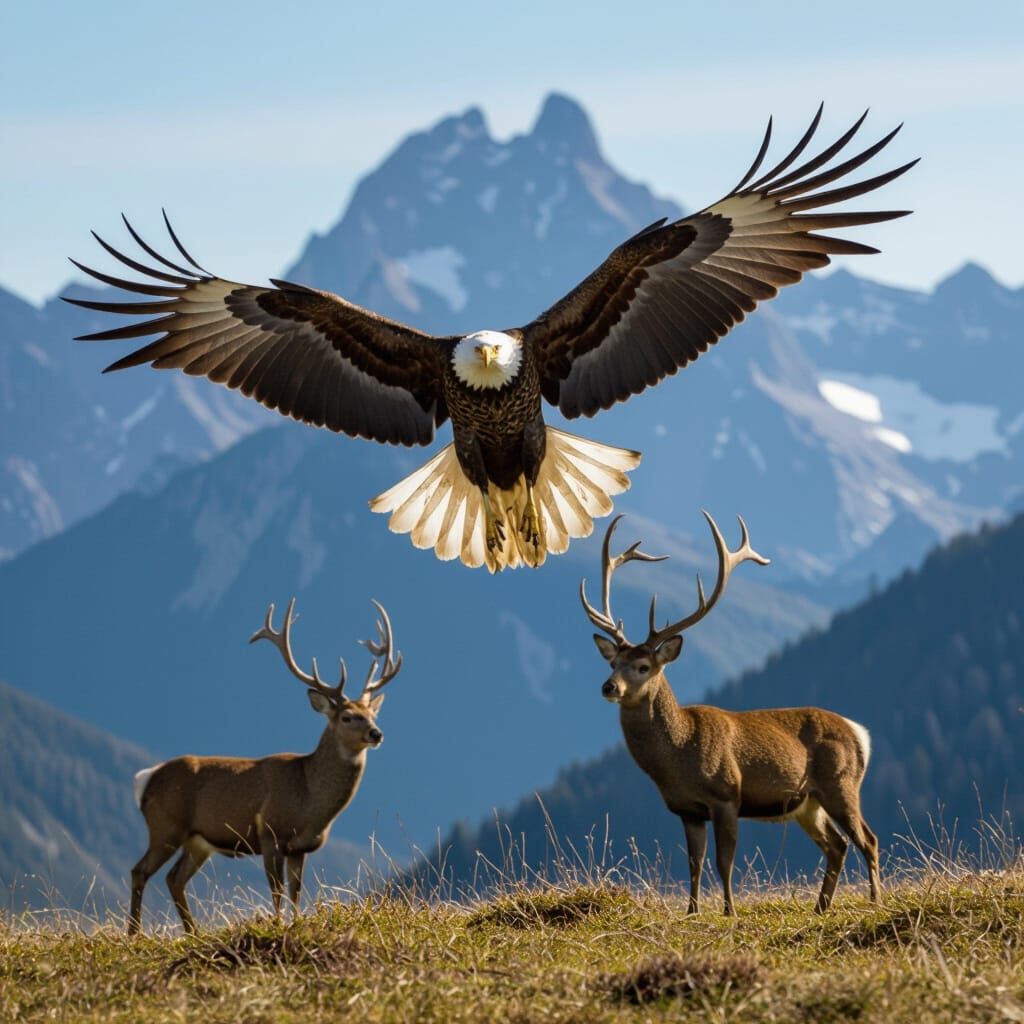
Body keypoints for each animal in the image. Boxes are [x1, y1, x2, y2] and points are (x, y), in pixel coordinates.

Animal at [128, 597, 403, 935]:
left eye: (373, 714)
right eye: (347, 717)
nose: (376, 733)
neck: (309, 799)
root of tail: (145, 779)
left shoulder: (300, 847)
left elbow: (296, 892)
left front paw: (295, 923)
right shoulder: (271, 832)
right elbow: (278, 891)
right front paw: (278, 925)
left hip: (196, 841)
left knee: (174, 878)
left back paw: (192, 932)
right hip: (165, 825)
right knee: (140, 871)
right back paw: (134, 933)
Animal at [580, 513, 881, 916]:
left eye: (643, 666)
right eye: (613, 662)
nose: (609, 687)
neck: (679, 756)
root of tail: (859, 733)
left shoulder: (727, 795)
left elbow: (724, 861)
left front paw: (729, 911)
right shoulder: (687, 810)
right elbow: (694, 863)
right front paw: (692, 911)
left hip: (841, 782)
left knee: (868, 839)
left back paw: (875, 900)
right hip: (808, 803)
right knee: (838, 845)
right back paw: (821, 907)